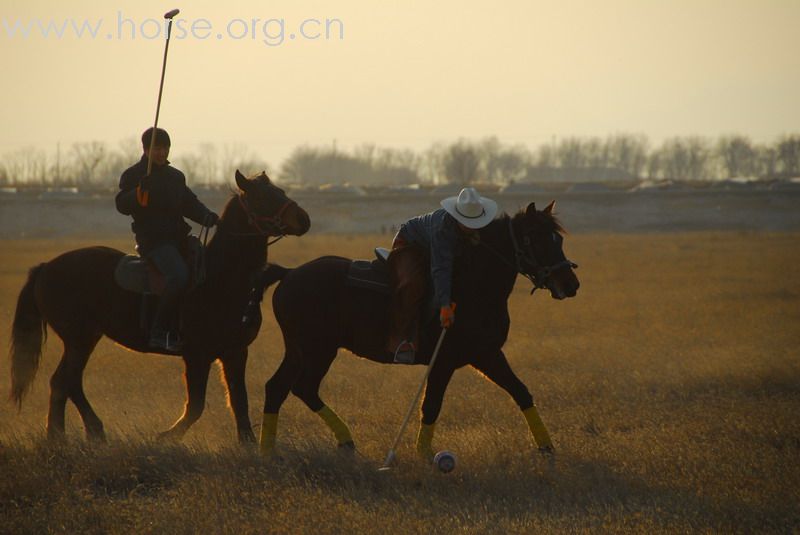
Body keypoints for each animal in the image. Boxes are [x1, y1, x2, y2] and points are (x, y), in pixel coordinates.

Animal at [9, 171, 310, 444]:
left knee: (63, 382)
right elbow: (196, 406)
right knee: (66, 382)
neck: (221, 278)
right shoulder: (197, 355)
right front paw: (166, 437)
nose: (304, 220)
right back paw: (78, 432)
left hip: (82, 340)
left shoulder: (235, 352)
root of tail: (46, 267)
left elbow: (239, 401)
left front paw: (247, 443)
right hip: (79, 340)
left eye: (280, 190)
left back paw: (68, 434)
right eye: (262, 197)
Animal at [260, 201, 580, 460]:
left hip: (297, 350)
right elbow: (432, 405)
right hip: (318, 350)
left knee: (277, 388)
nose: (571, 284)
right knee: (303, 388)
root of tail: (290, 273)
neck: (473, 285)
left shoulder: (488, 354)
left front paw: (547, 447)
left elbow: (521, 392)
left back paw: (269, 450)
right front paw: (426, 453)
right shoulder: (444, 361)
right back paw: (344, 440)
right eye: (533, 238)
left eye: (558, 238)